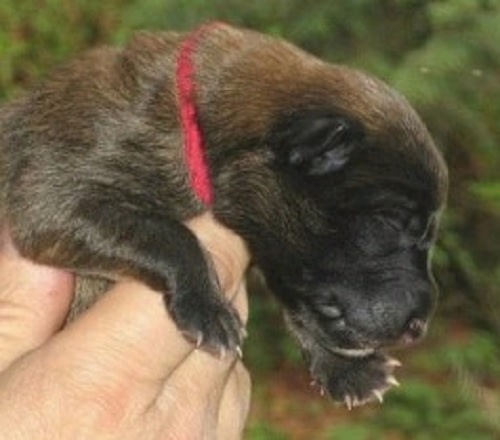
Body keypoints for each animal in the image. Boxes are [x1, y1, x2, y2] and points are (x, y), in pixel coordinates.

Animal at [0, 24, 448, 408]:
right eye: (389, 220)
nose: (421, 327)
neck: (197, 124)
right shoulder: (53, 199)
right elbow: (172, 234)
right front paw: (207, 306)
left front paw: (346, 370)